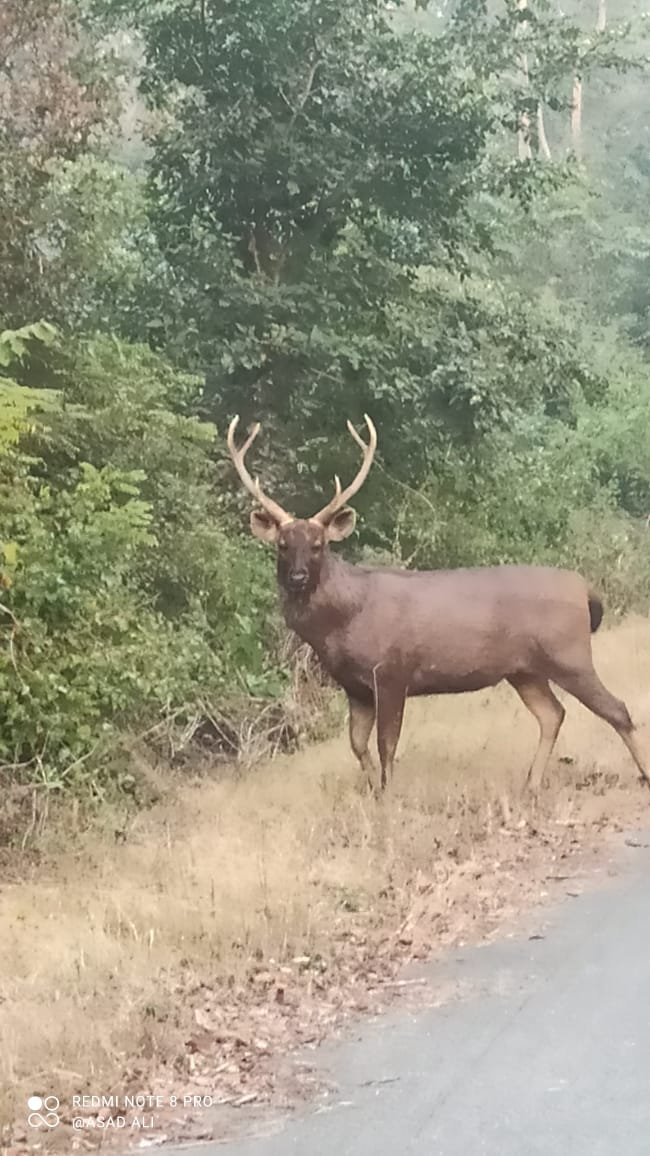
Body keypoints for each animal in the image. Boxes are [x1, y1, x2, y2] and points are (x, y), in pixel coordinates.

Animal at [227, 413, 650, 797]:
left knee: (617, 709)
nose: (297, 577)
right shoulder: (355, 688)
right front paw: (374, 793)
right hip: (524, 670)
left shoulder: (391, 672)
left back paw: (641, 775)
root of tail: (585, 590)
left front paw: (389, 797)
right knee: (553, 713)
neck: (342, 623)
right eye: (283, 545)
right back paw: (531, 785)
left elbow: (386, 745)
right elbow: (358, 745)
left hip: (569, 653)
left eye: (318, 545)